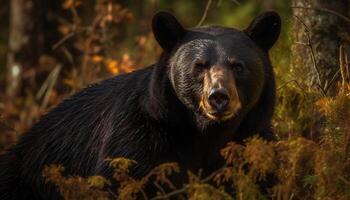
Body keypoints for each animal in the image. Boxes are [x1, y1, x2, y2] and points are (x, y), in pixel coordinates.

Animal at [0, 11, 278, 200]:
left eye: (238, 66)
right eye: (199, 66)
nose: (218, 96)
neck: (205, 133)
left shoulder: (253, 142)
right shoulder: (139, 137)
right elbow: (123, 180)